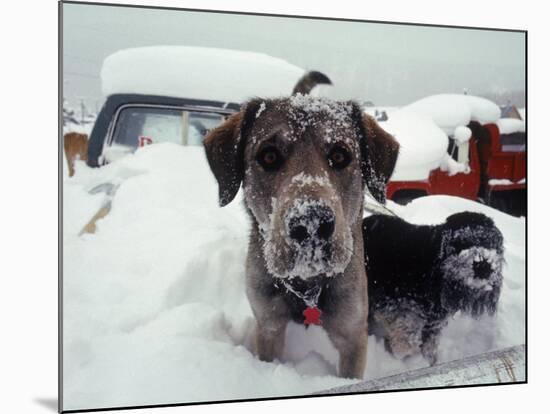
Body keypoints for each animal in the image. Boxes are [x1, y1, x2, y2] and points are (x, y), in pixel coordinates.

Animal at [205, 94, 398, 378]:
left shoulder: (352, 332)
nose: (311, 223)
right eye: (269, 156)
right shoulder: (268, 323)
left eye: (340, 155)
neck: (306, 284)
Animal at [364, 212, 506, 364]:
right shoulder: (393, 305)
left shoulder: (434, 323)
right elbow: (408, 339)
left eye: (492, 245)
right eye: (463, 242)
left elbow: (429, 345)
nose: (484, 265)